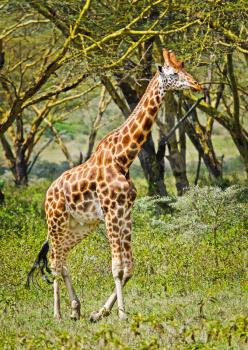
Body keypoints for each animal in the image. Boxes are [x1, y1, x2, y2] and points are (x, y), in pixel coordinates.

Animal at [26, 49, 202, 322]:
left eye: (185, 68)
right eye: (174, 73)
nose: (196, 84)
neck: (123, 157)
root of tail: (47, 194)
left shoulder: (125, 212)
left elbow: (129, 267)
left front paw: (99, 313)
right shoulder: (110, 212)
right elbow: (117, 267)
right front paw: (121, 315)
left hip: (79, 227)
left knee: (60, 258)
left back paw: (75, 309)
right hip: (56, 222)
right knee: (55, 261)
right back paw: (57, 314)